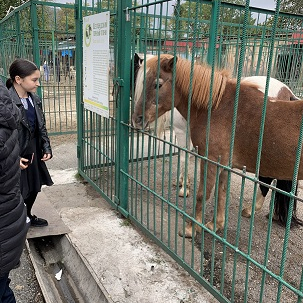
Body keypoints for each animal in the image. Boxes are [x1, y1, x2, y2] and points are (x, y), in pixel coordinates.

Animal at [133, 55, 303, 240]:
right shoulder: (224, 164)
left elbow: (203, 193)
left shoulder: (210, 160)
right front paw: (216, 225)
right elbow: (221, 193)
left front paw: (190, 228)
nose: (137, 119)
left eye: (158, 84)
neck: (216, 107)